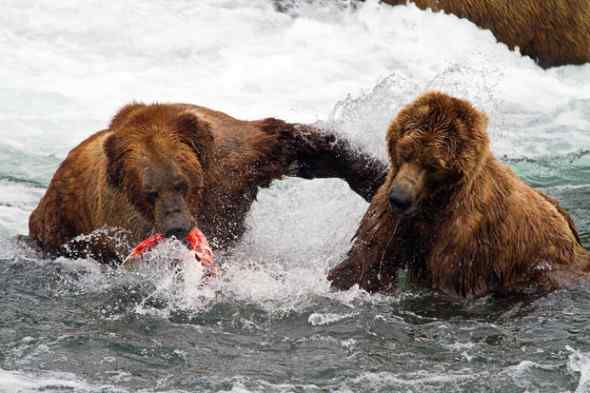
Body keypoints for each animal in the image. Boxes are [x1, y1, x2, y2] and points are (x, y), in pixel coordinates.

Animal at [28, 103, 388, 264]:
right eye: (150, 192)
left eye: (181, 184)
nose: (176, 224)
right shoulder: (122, 219)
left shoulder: (235, 159)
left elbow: (301, 146)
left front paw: (374, 177)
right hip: (61, 220)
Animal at [328, 90, 590, 296]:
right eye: (405, 151)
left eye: (432, 165)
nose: (400, 198)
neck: (434, 203)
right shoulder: (394, 214)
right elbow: (365, 263)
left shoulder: (465, 236)